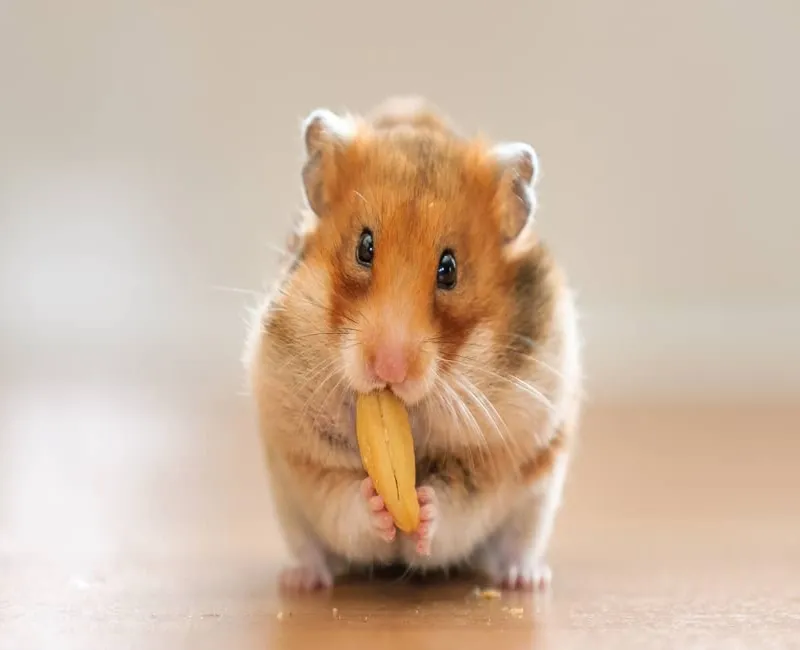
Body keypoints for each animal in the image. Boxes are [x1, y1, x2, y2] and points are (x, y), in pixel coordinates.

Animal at [244, 96, 583, 592]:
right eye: (364, 247)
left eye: (450, 269)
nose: (389, 369)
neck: (412, 411)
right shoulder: (301, 451)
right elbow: (342, 498)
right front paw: (377, 504)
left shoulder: (500, 450)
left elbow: (458, 502)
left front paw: (423, 508)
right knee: (311, 549)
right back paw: (301, 580)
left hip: (537, 497)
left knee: (515, 546)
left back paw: (527, 580)